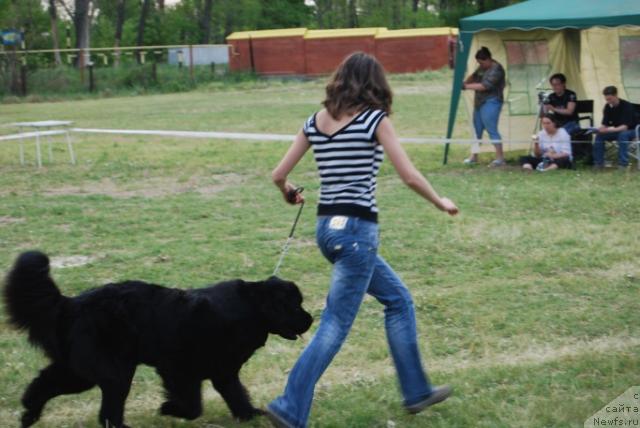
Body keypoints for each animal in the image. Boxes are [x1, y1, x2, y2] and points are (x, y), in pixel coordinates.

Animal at [2, 251, 312, 428]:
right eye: (294, 305)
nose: (310, 320)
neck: (252, 309)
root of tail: (72, 303)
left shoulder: (222, 372)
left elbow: (236, 395)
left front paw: (250, 415)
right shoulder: (179, 369)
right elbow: (193, 406)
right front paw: (168, 408)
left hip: (81, 369)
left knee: (44, 382)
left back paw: (29, 413)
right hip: (112, 372)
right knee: (107, 411)